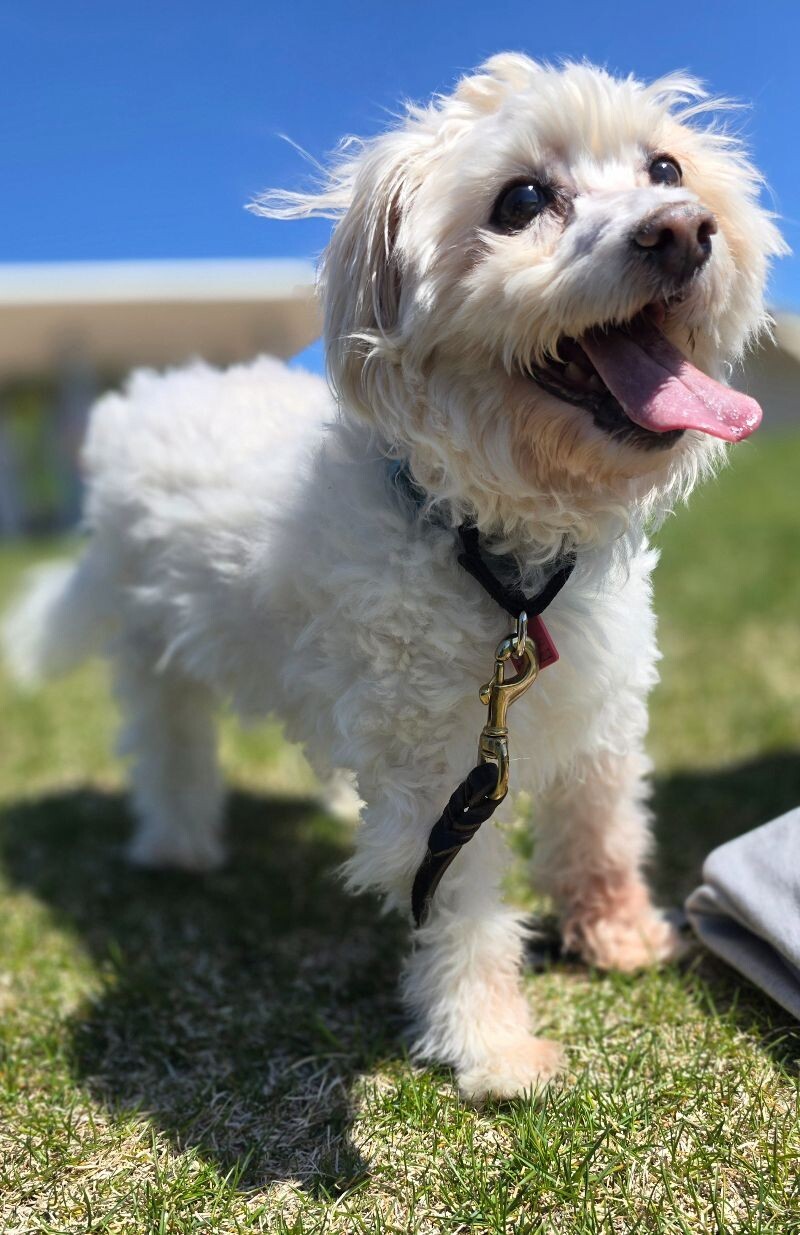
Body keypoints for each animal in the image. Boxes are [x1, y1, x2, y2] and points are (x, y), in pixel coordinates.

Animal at [3, 58, 785, 1101]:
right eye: (522, 200)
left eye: (666, 168)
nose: (681, 229)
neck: (502, 554)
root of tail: (151, 391)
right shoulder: (443, 768)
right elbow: (463, 910)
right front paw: (493, 1044)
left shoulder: (606, 706)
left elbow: (603, 829)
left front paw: (618, 933)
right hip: (151, 644)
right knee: (168, 744)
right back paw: (177, 843)